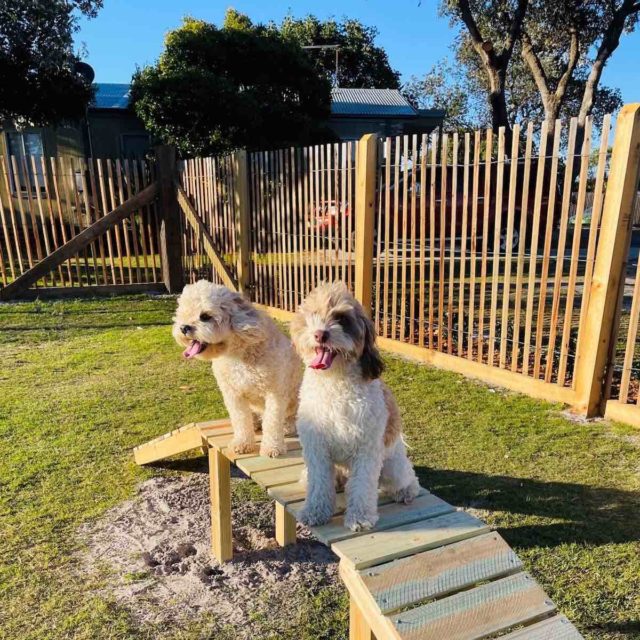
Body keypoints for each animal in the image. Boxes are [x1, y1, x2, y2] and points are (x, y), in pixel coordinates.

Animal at [170, 278, 300, 456]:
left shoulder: (275, 393)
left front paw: (272, 447)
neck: (238, 354)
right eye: (183, 313)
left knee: (290, 417)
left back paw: (287, 426)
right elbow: (240, 420)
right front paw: (243, 443)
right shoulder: (233, 394)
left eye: (205, 316)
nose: (184, 327)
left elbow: (272, 422)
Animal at [290, 282, 420, 532]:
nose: (320, 334)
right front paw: (315, 512)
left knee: (409, 477)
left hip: (392, 466)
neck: (335, 381)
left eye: (341, 318)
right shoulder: (316, 447)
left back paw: (406, 491)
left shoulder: (366, 449)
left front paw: (359, 517)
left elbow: (362, 487)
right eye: (313, 314)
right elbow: (319, 484)